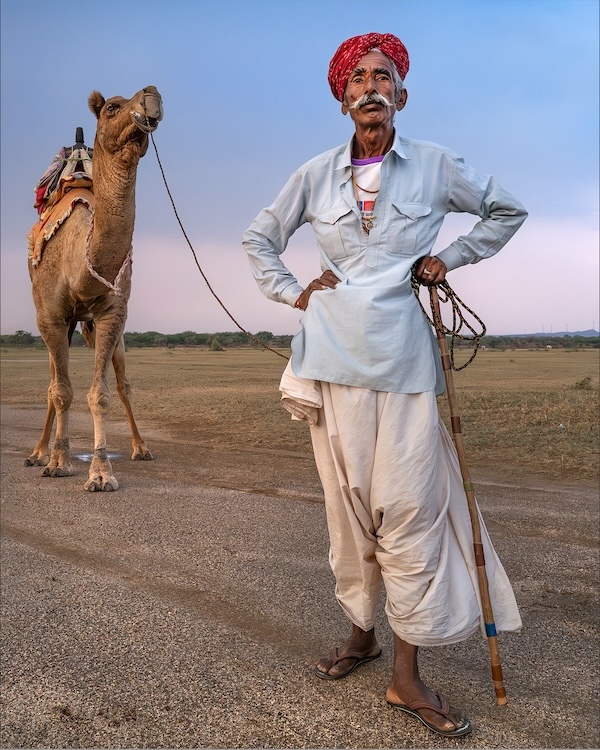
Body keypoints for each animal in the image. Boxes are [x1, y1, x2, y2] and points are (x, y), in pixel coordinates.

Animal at [26, 86, 162, 494]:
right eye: (113, 108)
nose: (152, 95)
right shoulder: (51, 317)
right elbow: (61, 391)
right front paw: (58, 462)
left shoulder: (113, 313)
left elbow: (100, 394)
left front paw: (101, 472)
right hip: (57, 323)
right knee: (54, 385)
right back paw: (39, 453)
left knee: (122, 384)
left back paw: (141, 448)